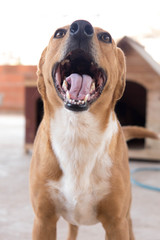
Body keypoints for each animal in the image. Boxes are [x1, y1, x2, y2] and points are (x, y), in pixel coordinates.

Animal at [29, 19, 159, 239]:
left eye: (106, 37)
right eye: (59, 33)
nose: (81, 27)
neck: (78, 132)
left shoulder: (117, 224)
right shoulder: (43, 220)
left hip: (127, 218)